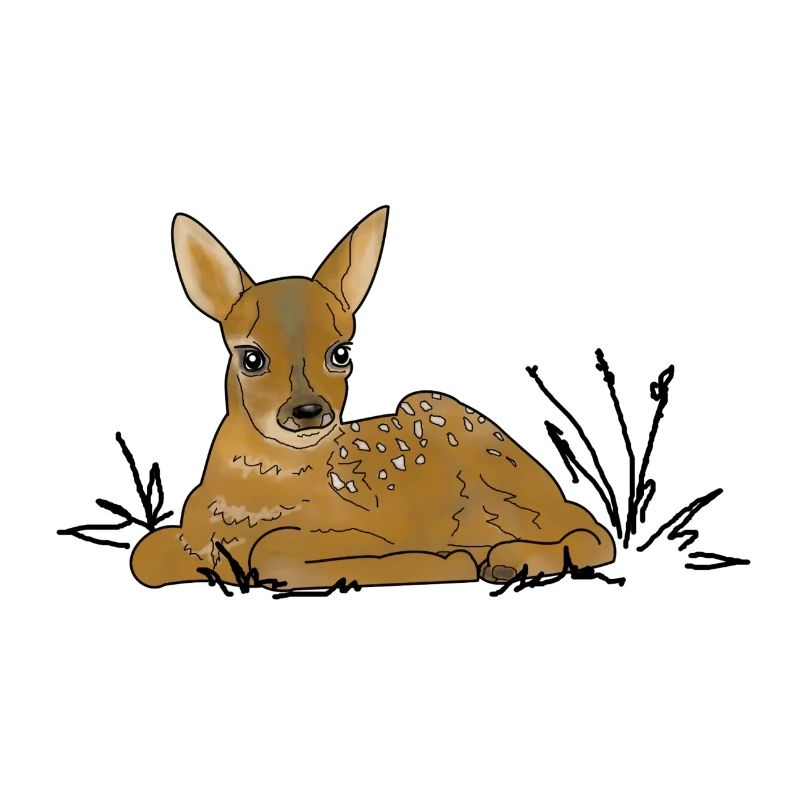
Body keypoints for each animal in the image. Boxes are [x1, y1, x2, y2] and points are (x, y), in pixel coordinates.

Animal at [130, 206, 616, 591]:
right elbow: (144, 555)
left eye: (340, 352)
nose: (309, 411)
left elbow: (275, 551)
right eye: (251, 357)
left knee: (592, 530)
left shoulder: (372, 528)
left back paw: (503, 559)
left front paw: (448, 560)